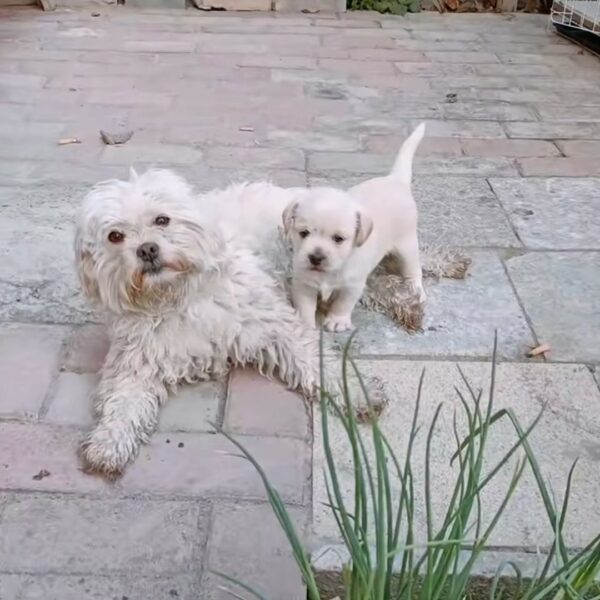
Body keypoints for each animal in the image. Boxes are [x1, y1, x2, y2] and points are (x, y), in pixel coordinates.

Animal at [76, 169, 324, 478]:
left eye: (162, 219)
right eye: (115, 236)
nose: (147, 250)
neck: (174, 297)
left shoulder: (271, 322)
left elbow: (308, 355)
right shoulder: (136, 362)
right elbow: (122, 403)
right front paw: (109, 442)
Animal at [282, 123, 426, 332]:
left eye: (338, 239)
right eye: (303, 233)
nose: (315, 258)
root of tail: (395, 179)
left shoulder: (353, 285)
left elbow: (343, 303)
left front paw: (337, 320)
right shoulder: (303, 283)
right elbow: (305, 306)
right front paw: (305, 326)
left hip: (407, 245)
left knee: (414, 271)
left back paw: (416, 292)